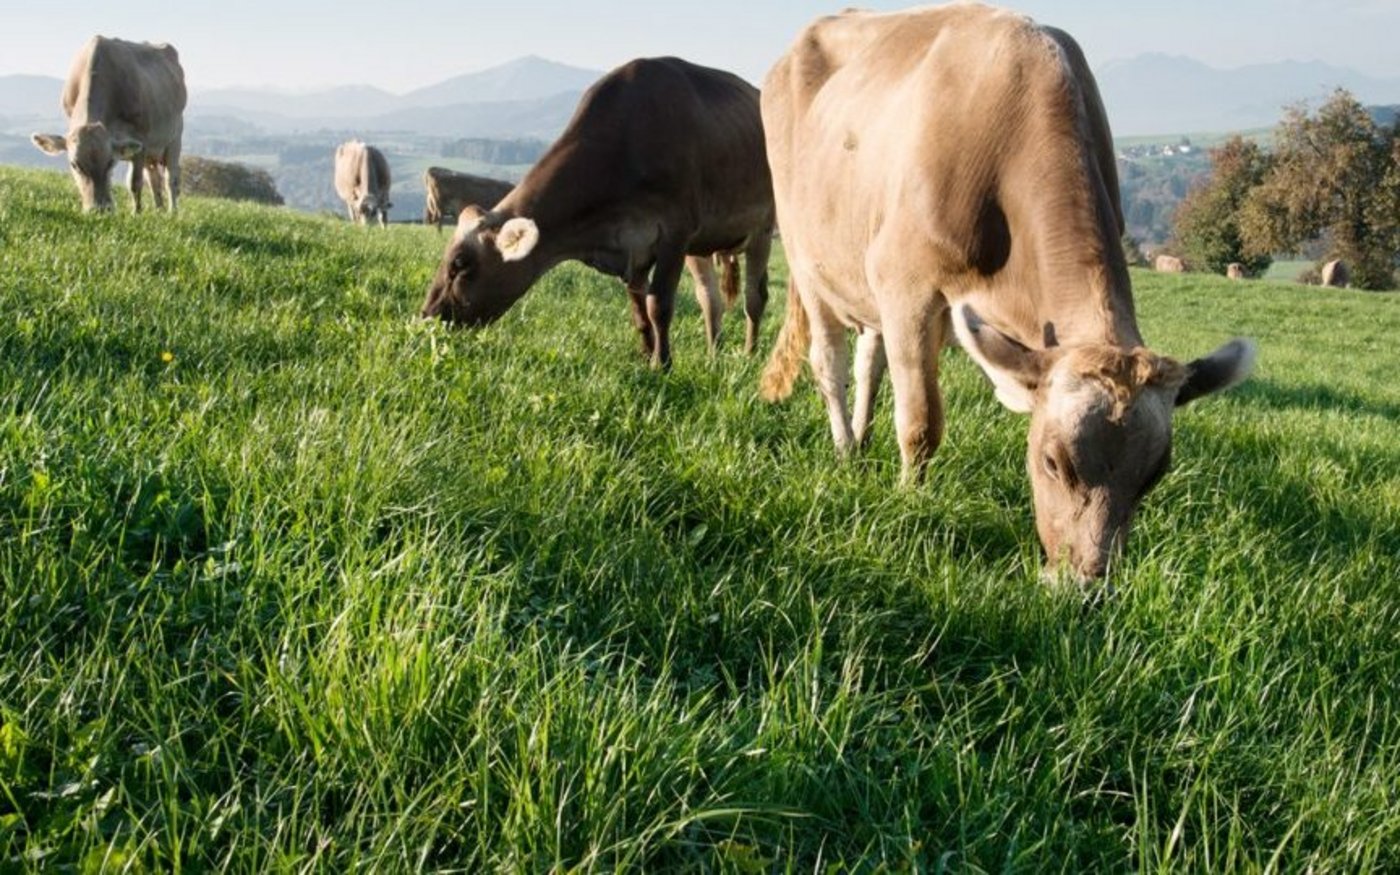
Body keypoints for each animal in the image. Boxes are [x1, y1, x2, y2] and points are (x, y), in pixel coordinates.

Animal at [31, 36, 187, 214]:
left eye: (110, 162)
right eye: (75, 165)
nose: (100, 210)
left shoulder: (141, 139)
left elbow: (135, 182)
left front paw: (136, 214)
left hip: (175, 137)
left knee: (171, 178)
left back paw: (172, 212)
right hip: (152, 152)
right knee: (154, 178)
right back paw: (159, 210)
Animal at [421, 56, 776, 367]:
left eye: (459, 264)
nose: (426, 316)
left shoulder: (675, 232)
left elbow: (659, 304)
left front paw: (662, 364)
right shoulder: (634, 248)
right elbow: (639, 311)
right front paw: (647, 356)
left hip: (764, 226)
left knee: (754, 298)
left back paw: (749, 355)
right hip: (702, 246)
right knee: (710, 300)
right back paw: (713, 356)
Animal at [758, 4, 1255, 582]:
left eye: (1154, 474)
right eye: (1053, 461)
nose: (1085, 586)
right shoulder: (906, 285)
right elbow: (920, 422)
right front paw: (909, 502)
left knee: (868, 362)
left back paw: (860, 440)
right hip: (806, 258)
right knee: (829, 360)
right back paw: (844, 450)